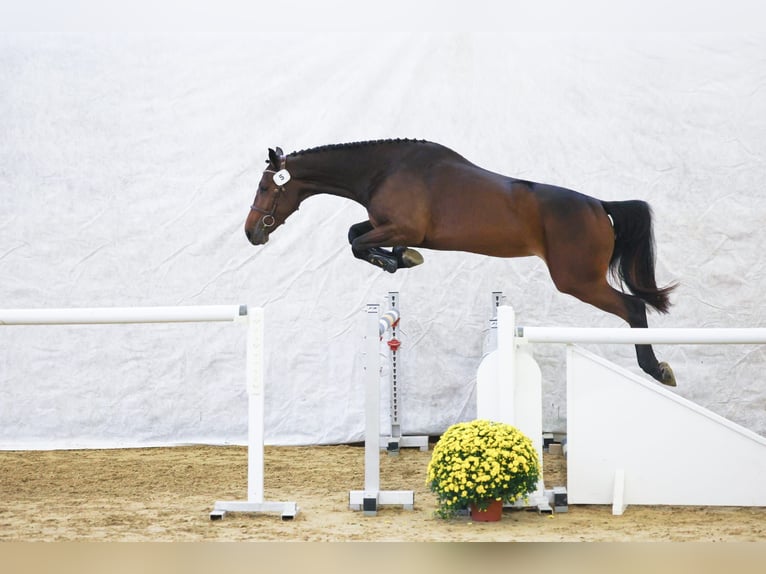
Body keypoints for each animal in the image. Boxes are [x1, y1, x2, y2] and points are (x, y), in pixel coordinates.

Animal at [244, 140, 680, 388]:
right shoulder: (390, 225)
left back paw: (656, 369)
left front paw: (396, 260)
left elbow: (356, 242)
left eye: (265, 187)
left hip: (578, 280)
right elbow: (354, 234)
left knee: (633, 307)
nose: (251, 232)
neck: (384, 169)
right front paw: (401, 257)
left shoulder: (402, 225)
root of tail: (599, 206)